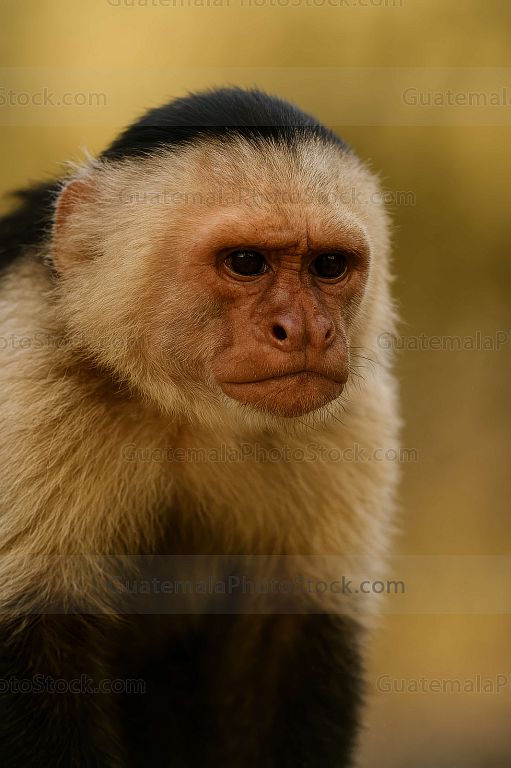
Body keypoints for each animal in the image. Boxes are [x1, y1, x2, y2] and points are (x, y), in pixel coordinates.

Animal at [0, 87, 399, 767]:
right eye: (245, 262)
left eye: (328, 265)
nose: (307, 331)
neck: (184, 408)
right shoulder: (24, 372)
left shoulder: (352, 417)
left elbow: (289, 641)